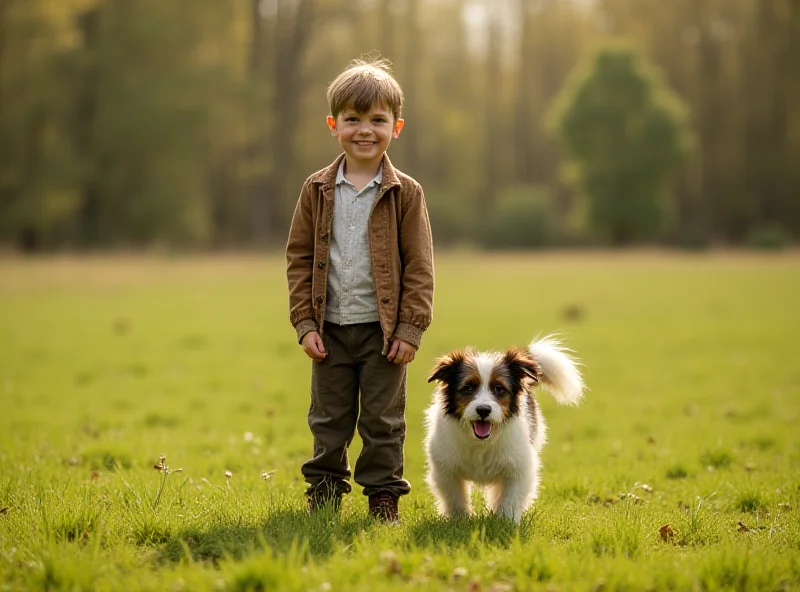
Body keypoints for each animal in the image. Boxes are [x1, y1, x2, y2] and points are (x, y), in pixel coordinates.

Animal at [422, 336, 584, 524]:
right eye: (468, 387)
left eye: (499, 388)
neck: (481, 443)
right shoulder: (445, 469)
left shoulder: (519, 467)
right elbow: (454, 496)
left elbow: (510, 497)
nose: (483, 410)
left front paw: (505, 522)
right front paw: (460, 519)